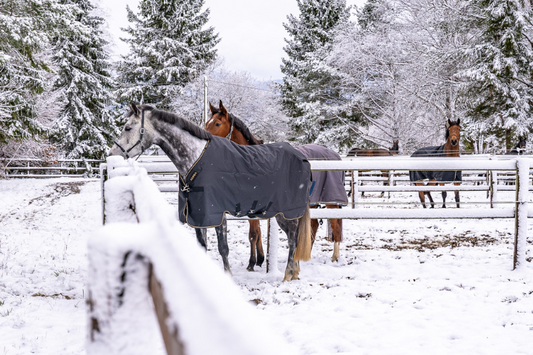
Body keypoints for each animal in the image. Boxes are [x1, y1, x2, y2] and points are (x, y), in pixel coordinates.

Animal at [206, 101, 348, 268]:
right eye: (207, 123)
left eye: (217, 123)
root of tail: (335, 155)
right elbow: (256, 233)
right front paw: (260, 259)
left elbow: (253, 234)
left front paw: (252, 263)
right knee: (313, 226)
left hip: (331, 201)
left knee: (336, 224)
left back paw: (335, 257)